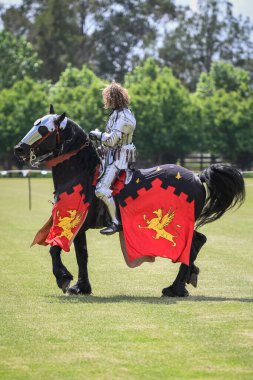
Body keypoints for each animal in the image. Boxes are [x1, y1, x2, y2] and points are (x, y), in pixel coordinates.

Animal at [14, 106, 245, 296]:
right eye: (35, 124)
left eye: (44, 130)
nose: (19, 149)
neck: (81, 173)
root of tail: (197, 177)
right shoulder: (80, 227)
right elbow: (82, 255)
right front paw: (81, 287)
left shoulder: (73, 223)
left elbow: (55, 248)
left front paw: (63, 278)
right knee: (197, 241)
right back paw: (184, 281)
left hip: (181, 225)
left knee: (194, 243)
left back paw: (175, 288)